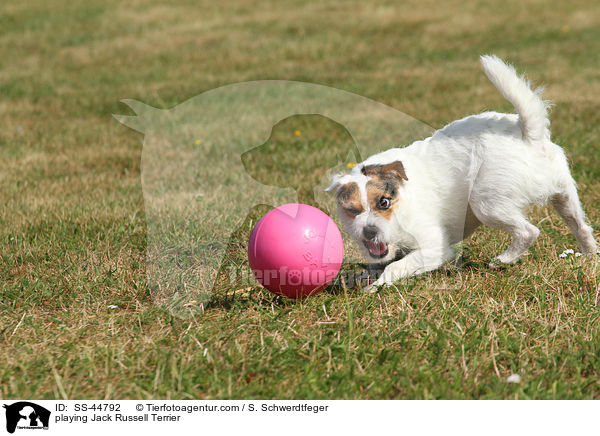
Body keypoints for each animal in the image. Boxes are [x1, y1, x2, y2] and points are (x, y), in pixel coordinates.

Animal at [326, 55, 596, 292]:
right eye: (352, 210)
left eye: (384, 202)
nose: (370, 231)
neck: (402, 202)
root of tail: (528, 134)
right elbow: (379, 263)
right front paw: (363, 276)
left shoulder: (433, 248)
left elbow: (395, 267)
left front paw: (375, 288)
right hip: (564, 195)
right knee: (582, 227)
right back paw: (590, 257)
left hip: (485, 203)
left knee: (529, 232)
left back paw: (504, 260)